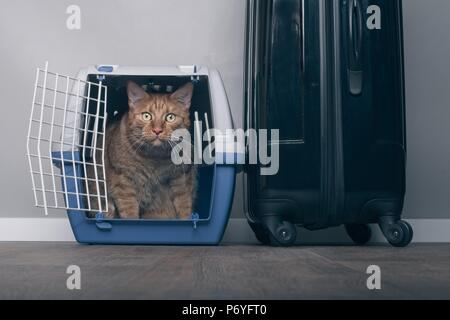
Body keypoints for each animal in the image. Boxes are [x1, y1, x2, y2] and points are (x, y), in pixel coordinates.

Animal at [25, 61, 241, 244]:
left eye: (170, 117)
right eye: (146, 116)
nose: (157, 130)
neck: (155, 159)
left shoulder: (181, 180)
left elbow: (184, 207)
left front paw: (188, 221)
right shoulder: (123, 182)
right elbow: (130, 212)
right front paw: (132, 223)